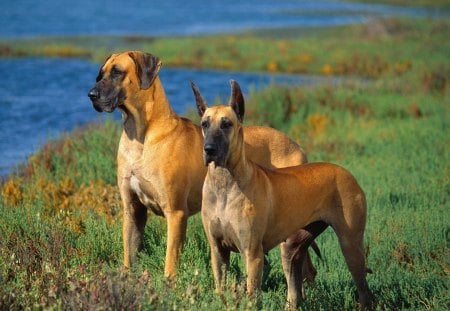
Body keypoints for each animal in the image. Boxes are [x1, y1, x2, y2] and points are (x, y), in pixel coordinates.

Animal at [197, 80, 372, 310]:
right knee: (295, 285)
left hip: (350, 245)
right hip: (291, 247)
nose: (209, 149)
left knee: (364, 290)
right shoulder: (217, 251)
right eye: (204, 124)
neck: (224, 183)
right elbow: (220, 286)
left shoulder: (252, 254)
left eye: (226, 124)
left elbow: (252, 294)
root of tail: (347, 173)